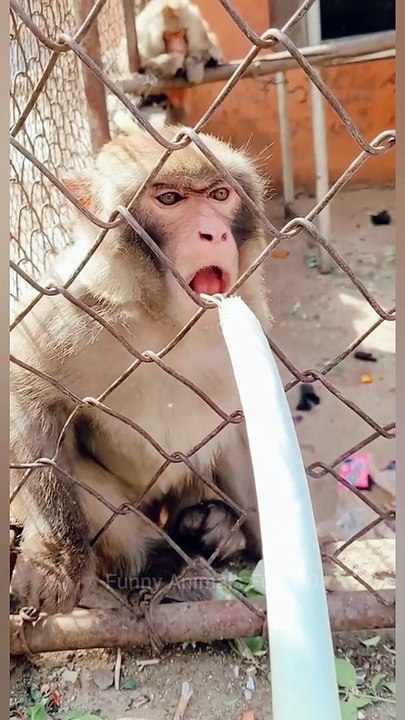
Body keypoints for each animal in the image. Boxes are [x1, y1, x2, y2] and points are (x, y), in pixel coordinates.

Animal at [10, 124, 272, 615]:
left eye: (220, 194)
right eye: (169, 199)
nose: (213, 234)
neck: (167, 322)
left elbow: (243, 427)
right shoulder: (71, 306)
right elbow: (26, 395)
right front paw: (58, 559)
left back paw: (210, 529)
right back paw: (165, 562)